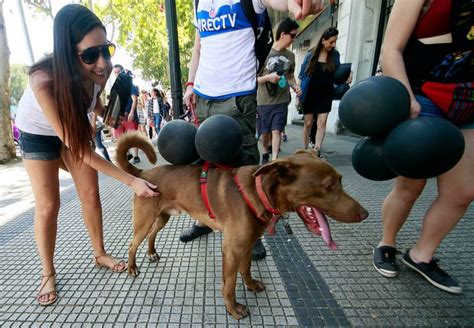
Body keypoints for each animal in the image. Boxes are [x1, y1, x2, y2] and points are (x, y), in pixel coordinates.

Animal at [116, 132, 368, 320]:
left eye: (341, 180)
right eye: (328, 186)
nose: (365, 214)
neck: (258, 192)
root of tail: (143, 172)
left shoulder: (248, 244)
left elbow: (245, 269)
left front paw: (250, 285)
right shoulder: (232, 250)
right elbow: (229, 285)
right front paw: (233, 309)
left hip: (162, 218)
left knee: (151, 236)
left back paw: (151, 253)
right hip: (144, 220)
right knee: (132, 244)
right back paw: (132, 267)